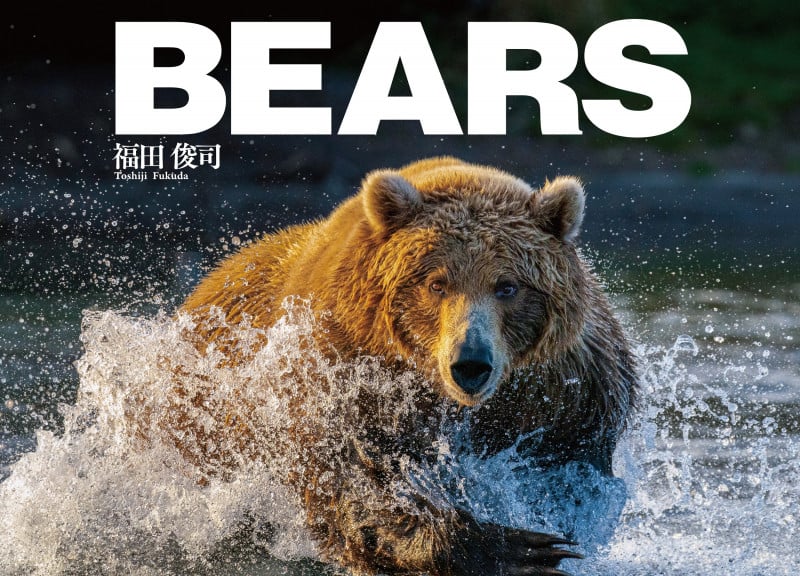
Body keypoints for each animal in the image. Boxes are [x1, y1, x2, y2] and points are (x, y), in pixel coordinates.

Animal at [168, 156, 637, 576]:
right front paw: (515, 548)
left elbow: (569, 477)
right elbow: (355, 485)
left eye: (507, 286)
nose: (470, 364)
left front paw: (548, 538)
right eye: (437, 283)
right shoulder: (342, 377)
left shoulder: (565, 391)